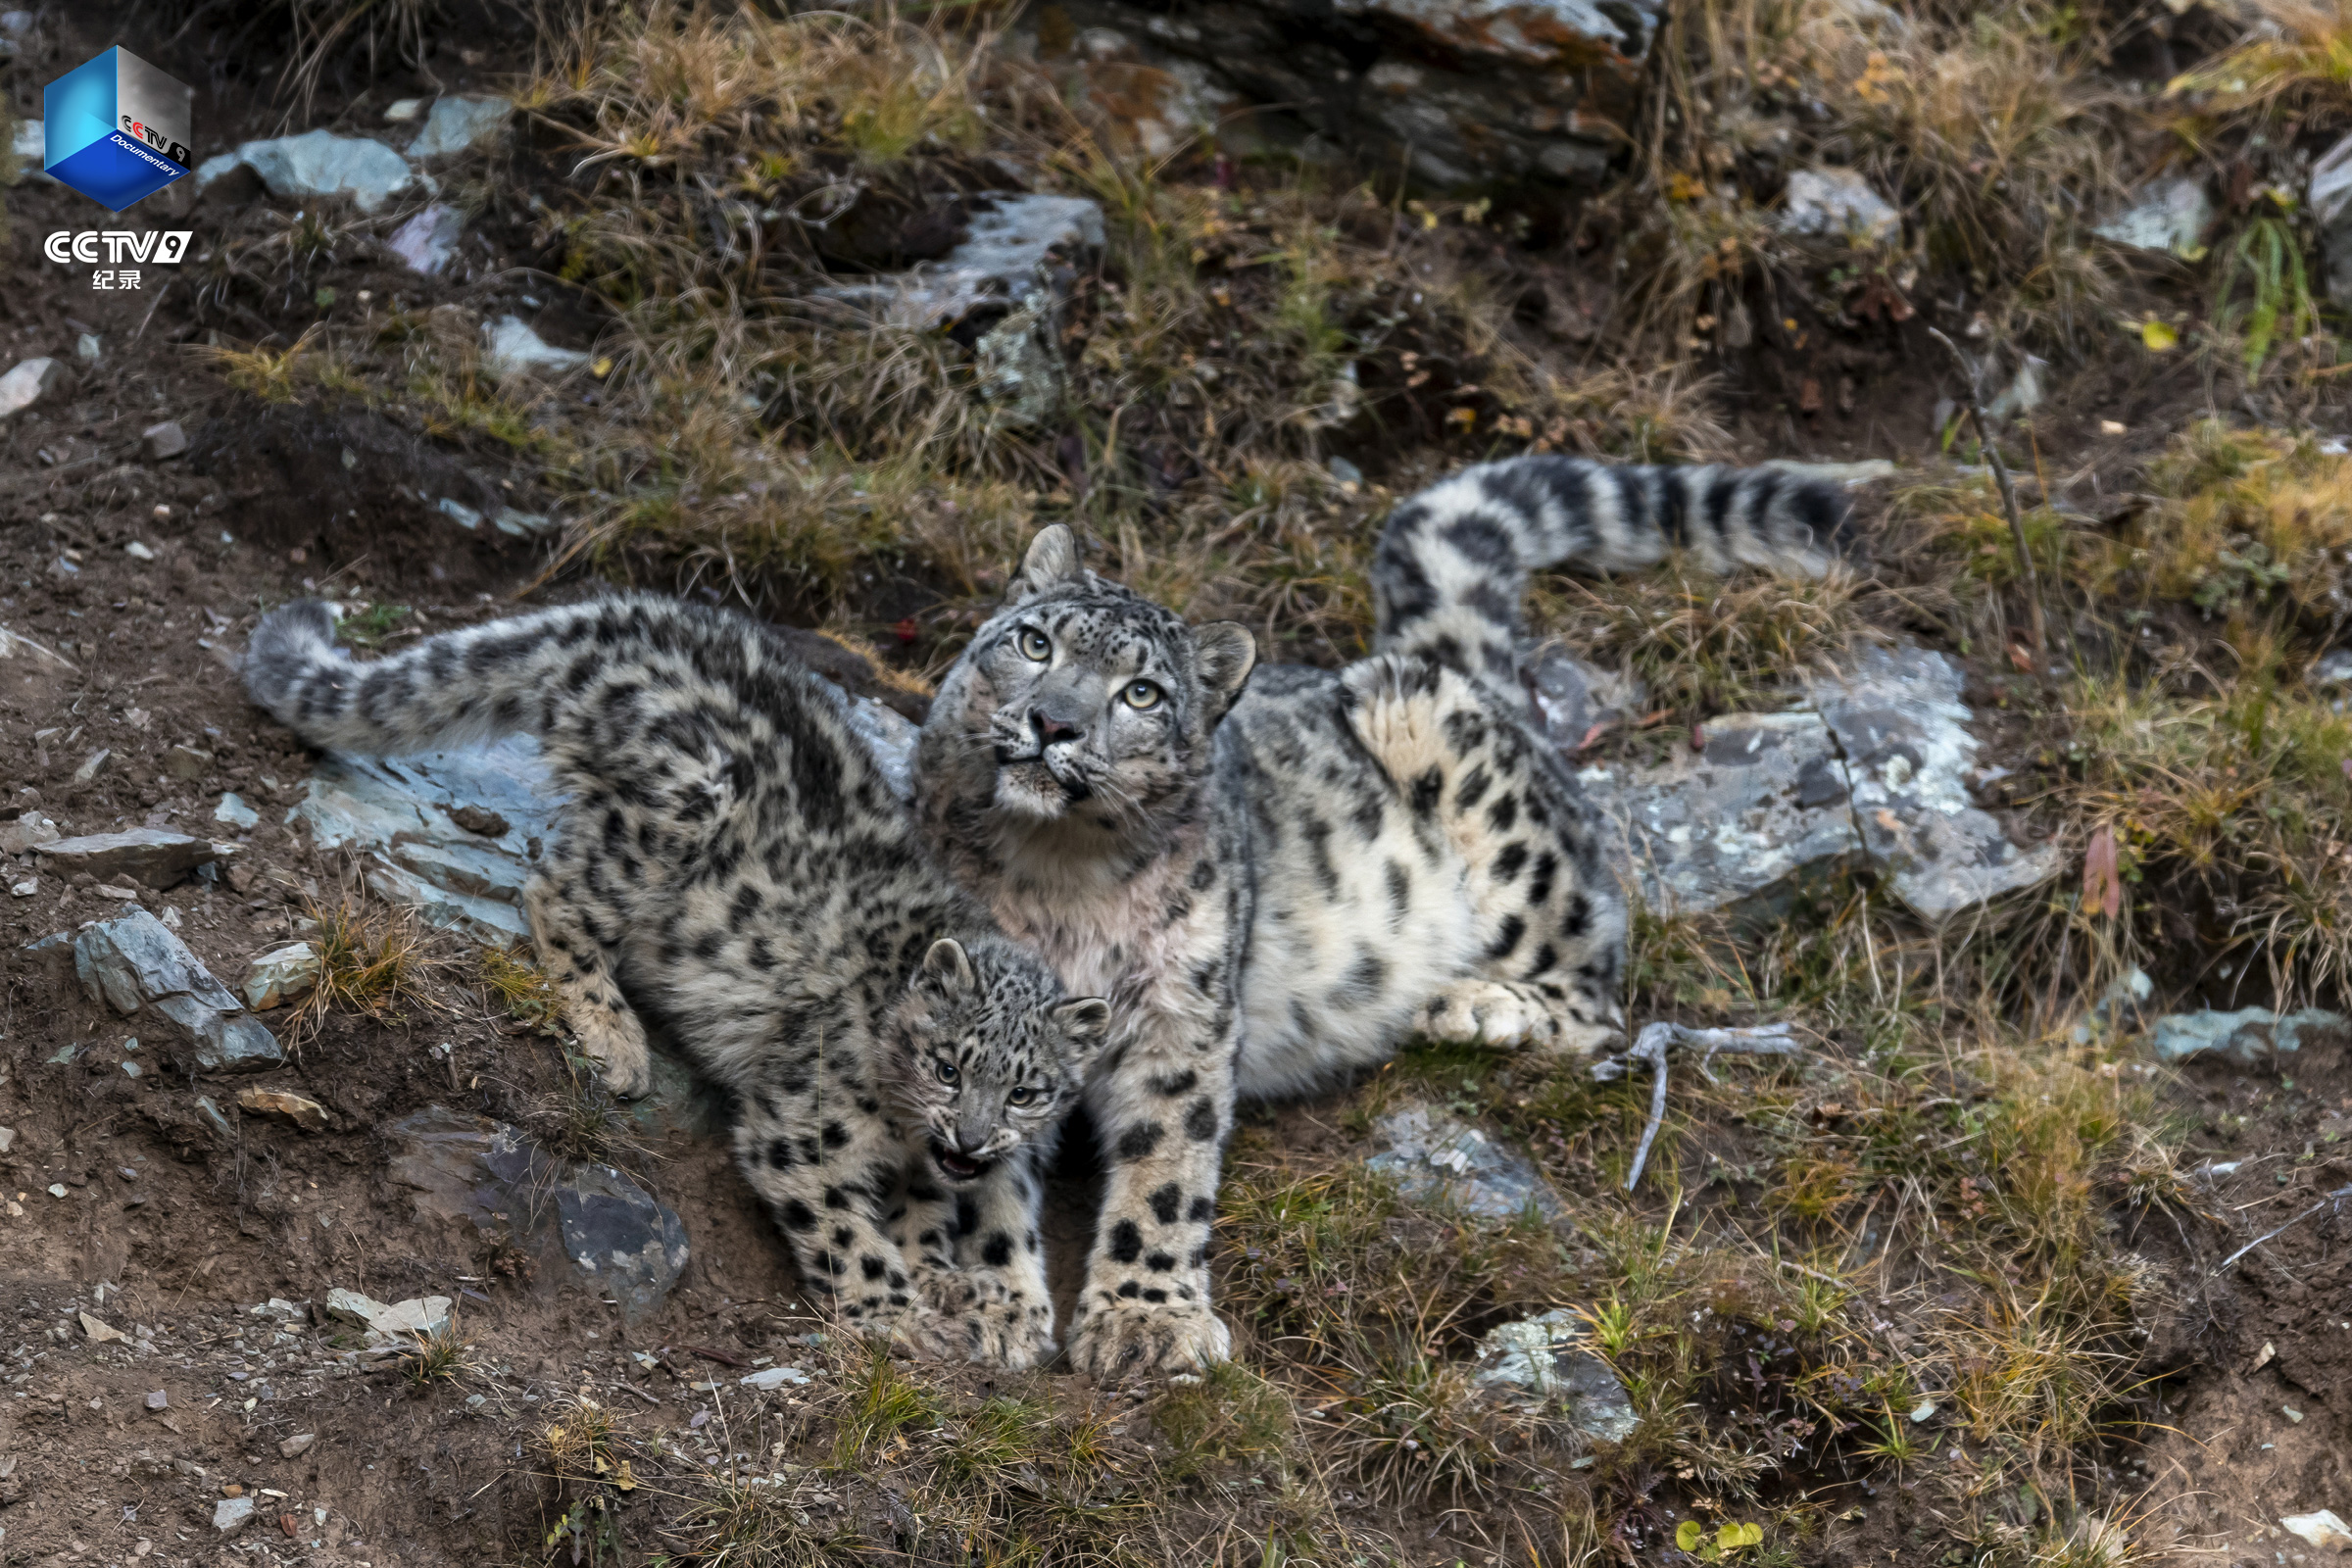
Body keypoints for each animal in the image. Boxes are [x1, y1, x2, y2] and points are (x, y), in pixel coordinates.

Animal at [243, 594, 1114, 1363]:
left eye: (1026, 1091)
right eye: (948, 1067)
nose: (971, 1139)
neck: (902, 1129)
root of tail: (619, 616)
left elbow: (925, 1216)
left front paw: (951, 1284)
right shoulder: (799, 1123)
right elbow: (846, 1229)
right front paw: (900, 1316)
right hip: (680, 799)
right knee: (555, 891)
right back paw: (615, 1037)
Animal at [907, 453, 1843, 1372]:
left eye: (1141, 693)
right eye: (1034, 642)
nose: (1052, 721)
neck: (1062, 877)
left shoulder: (1182, 1011)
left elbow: (1166, 1166)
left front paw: (1148, 1322)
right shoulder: (982, 1011)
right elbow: (980, 1171)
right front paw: (990, 1303)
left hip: (1464, 777)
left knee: (1596, 993)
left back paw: (1470, 1005)